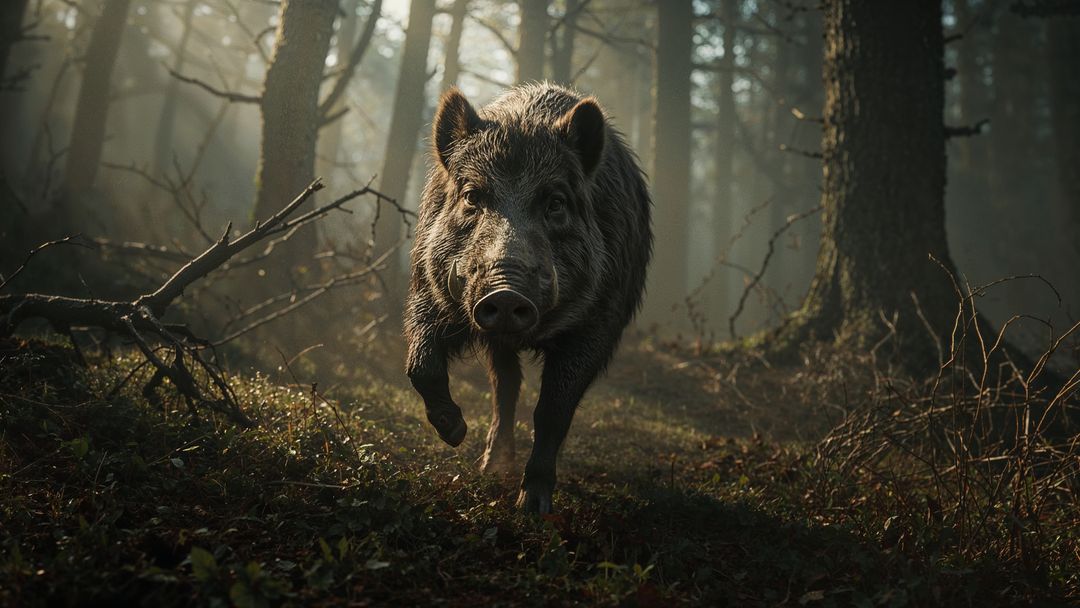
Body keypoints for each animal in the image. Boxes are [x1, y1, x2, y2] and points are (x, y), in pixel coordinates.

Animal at [404, 82, 652, 514]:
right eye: (472, 196)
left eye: (555, 202)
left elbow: (553, 408)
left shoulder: (598, 323)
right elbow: (420, 365)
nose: (505, 293)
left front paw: (532, 505)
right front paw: (455, 433)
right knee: (505, 386)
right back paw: (489, 465)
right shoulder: (427, 291)